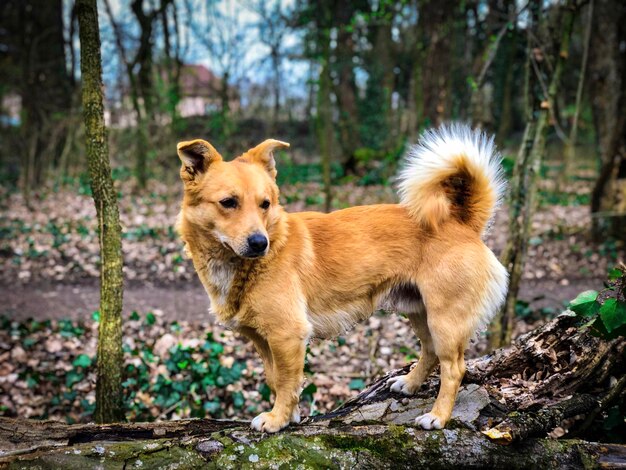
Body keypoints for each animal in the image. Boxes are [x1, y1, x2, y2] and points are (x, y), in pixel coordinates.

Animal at [174, 123, 508, 432]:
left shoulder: (287, 335)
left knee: (454, 368)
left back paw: (438, 416)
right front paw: (290, 415)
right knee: (430, 352)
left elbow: (285, 382)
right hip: (419, 311)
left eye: (265, 204)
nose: (259, 243)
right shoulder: (265, 340)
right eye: (228, 202)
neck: (242, 266)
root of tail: (462, 222)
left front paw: (277, 419)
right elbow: (277, 380)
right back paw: (411, 384)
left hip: (445, 320)